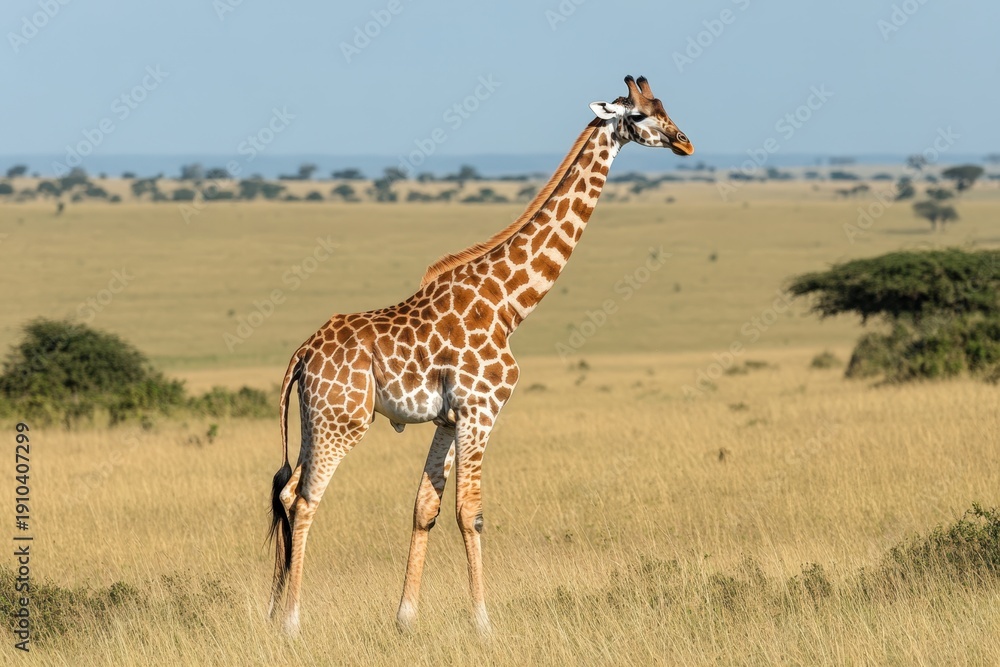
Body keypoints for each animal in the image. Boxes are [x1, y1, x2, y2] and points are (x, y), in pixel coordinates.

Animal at [267, 75, 693, 636]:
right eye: (640, 115)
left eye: (664, 105)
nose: (685, 143)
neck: (508, 305)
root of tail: (300, 355)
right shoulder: (481, 408)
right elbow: (470, 513)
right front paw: (483, 624)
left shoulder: (449, 418)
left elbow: (425, 508)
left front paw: (405, 619)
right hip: (343, 420)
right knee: (305, 498)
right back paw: (292, 622)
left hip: (316, 419)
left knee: (285, 491)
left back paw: (274, 611)